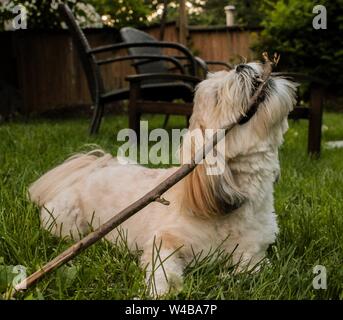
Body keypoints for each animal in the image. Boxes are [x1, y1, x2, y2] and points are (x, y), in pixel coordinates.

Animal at [29, 62, 296, 298]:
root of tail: (93, 168)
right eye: (218, 96)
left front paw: (230, 277)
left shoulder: (254, 250)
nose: (243, 66)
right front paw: (160, 292)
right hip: (67, 226)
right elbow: (162, 268)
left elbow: (253, 270)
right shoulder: (164, 241)